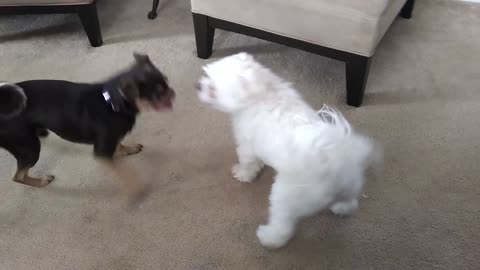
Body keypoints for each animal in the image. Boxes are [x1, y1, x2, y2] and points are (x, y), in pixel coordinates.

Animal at [0, 53, 176, 200]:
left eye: (167, 81)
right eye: (158, 93)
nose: (172, 93)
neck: (112, 102)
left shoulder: (110, 140)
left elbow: (119, 143)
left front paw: (127, 149)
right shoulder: (101, 152)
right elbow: (125, 173)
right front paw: (136, 189)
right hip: (29, 148)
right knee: (18, 176)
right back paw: (41, 181)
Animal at [197, 52, 376, 249]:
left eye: (213, 88)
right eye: (206, 76)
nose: (198, 86)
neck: (261, 91)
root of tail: (333, 160)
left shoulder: (247, 144)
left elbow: (248, 162)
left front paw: (242, 174)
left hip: (286, 195)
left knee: (283, 225)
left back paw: (269, 237)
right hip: (350, 182)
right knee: (350, 200)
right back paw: (341, 208)